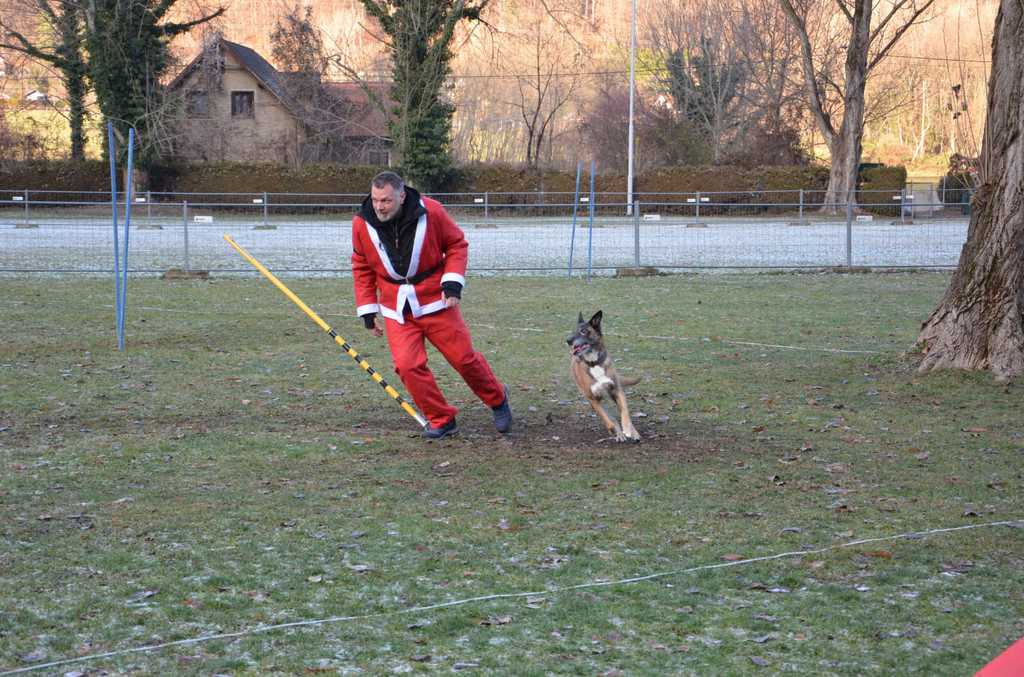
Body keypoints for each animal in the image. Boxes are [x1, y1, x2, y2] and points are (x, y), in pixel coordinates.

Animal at [567, 310, 641, 442]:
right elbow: (607, 418)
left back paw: (633, 433)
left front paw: (628, 429)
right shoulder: (593, 399)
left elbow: (625, 412)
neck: (594, 362)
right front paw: (614, 430)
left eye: (583, 331)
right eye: (573, 330)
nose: (568, 340)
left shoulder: (616, 390)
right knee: (609, 416)